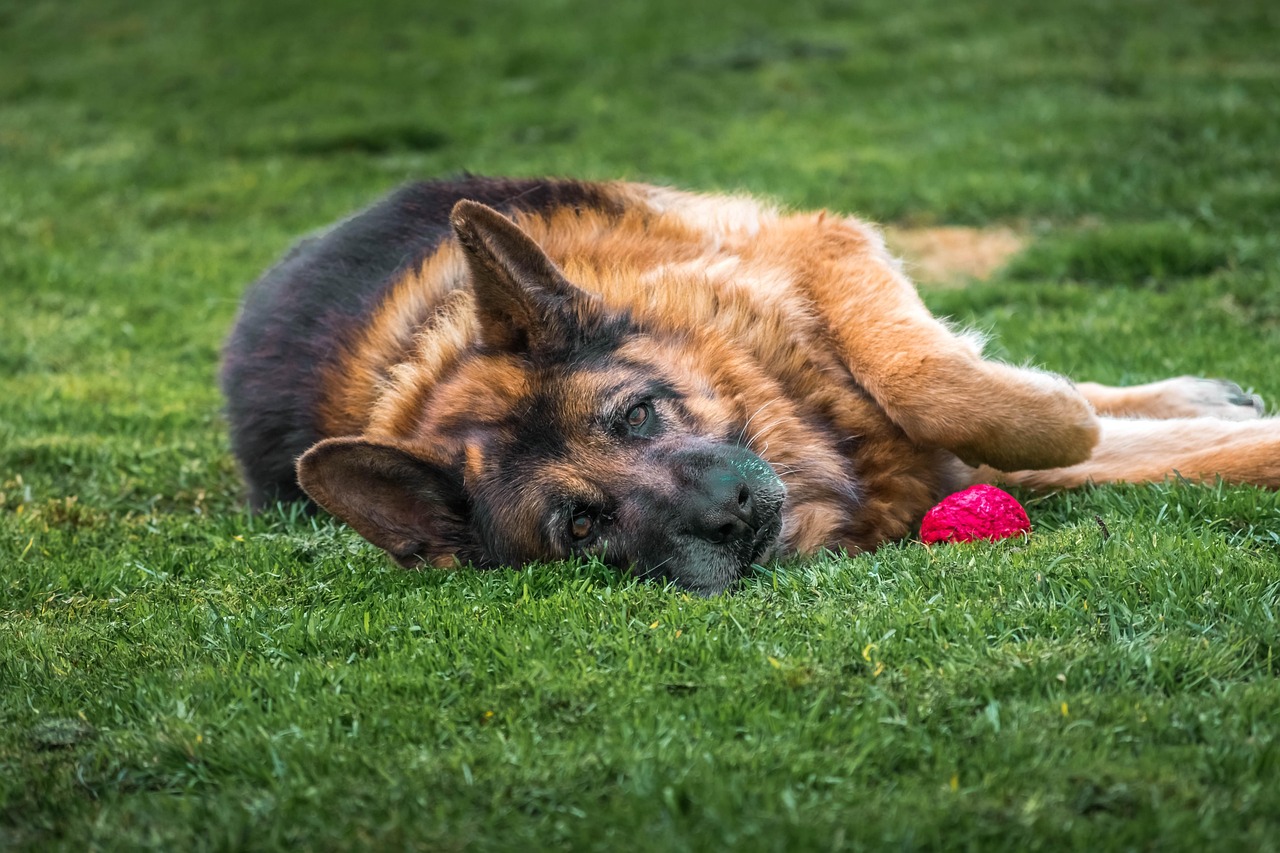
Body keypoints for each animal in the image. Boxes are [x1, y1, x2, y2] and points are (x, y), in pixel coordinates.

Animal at [222, 178, 1280, 591]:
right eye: (582, 525)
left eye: (638, 414)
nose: (725, 519)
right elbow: (1164, 462)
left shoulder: (817, 247)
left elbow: (936, 380)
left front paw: (1058, 407)